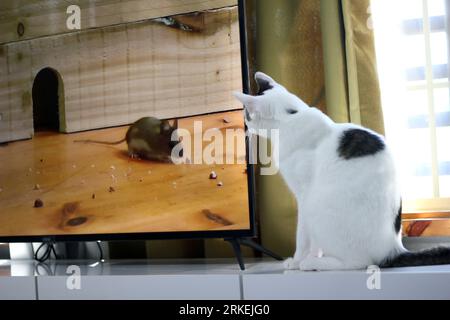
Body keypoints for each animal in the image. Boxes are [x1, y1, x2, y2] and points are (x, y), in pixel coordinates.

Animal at [234, 72, 450, 270]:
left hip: (315, 207)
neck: (292, 117)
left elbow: (302, 237)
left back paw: (313, 263)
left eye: (247, 115)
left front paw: (296, 262)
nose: (244, 124)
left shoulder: (303, 196)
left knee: (358, 262)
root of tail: (392, 250)